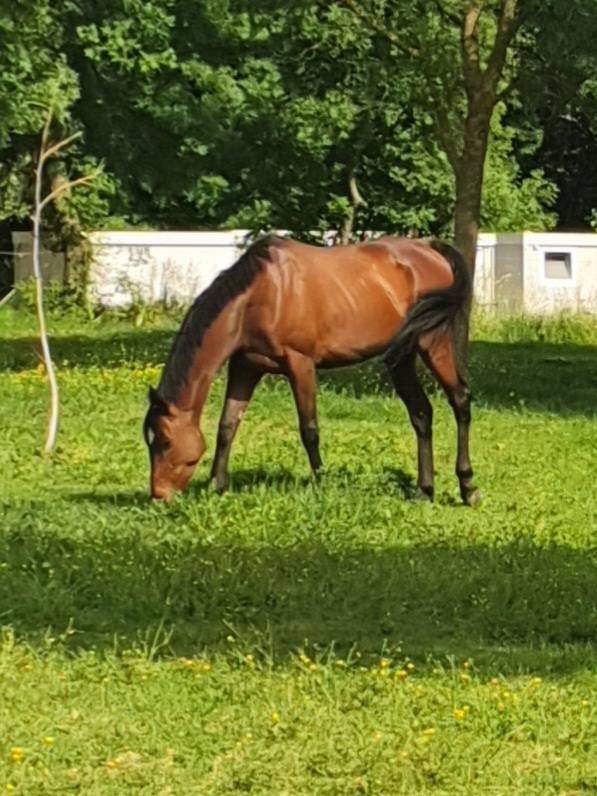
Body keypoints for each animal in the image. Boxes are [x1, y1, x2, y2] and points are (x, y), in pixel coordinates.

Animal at [143, 234, 480, 505]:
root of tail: (430, 247)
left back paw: (468, 488)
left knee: (460, 399)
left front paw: (322, 482)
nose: (159, 496)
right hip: (401, 355)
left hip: (432, 340)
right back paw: (425, 490)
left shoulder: (300, 364)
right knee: (421, 413)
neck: (260, 294)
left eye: (165, 441)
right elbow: (227, 426)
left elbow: (309, 429)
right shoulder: (245, 367)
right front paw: (216, 485)